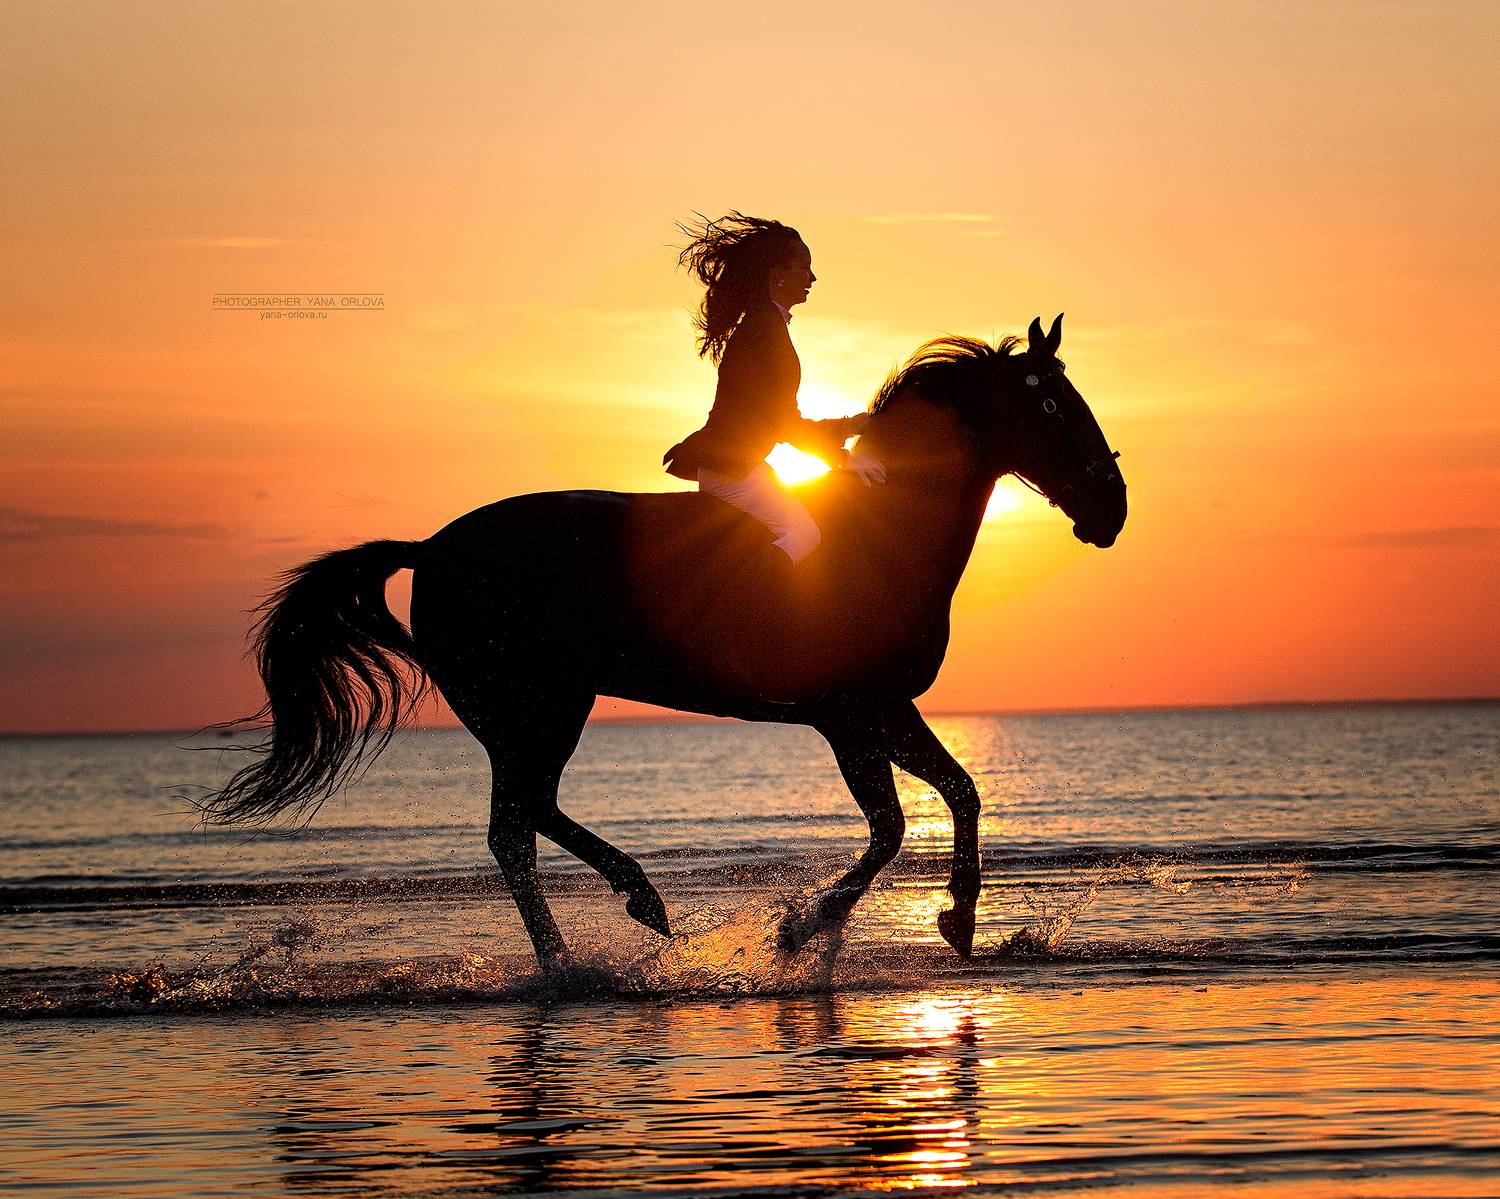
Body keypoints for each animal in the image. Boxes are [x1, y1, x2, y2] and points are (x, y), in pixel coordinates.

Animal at [200, 315, 1126, 966]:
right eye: (1051, 403)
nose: (1111, 511)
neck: (888, 524)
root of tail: (430, 549)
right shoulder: (848, 715)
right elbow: (893, 826)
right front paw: (802, 928)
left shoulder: (885, 708)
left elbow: (961, 793)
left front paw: (958, 919)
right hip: (537, 706)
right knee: (518, 825)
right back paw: (609, 930)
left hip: (532, 711)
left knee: (521, 822)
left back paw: (599, 934)